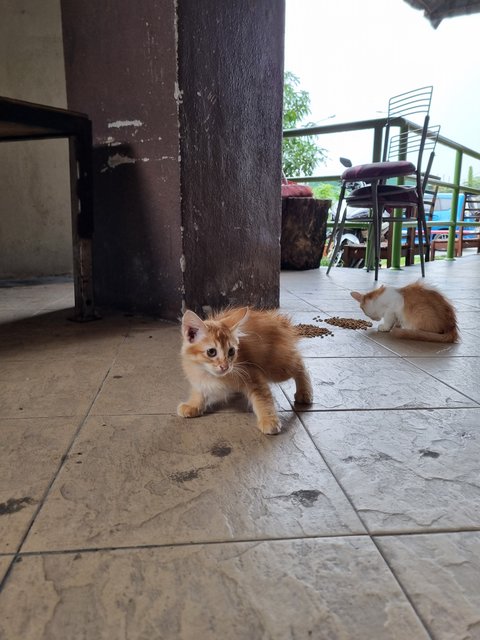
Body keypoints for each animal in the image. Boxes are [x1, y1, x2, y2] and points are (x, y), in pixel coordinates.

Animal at [178, 306, 314, 436]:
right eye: (211, 352)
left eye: (231, 351)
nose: (225, 367)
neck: (209, 374)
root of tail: (277, 320)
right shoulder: (198, 380)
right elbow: (199, 392)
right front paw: (193, 405)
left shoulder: (253, 375)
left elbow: (263, 399)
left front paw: (268, 420)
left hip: (277, 368)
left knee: (300, 364)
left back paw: (304, 392)